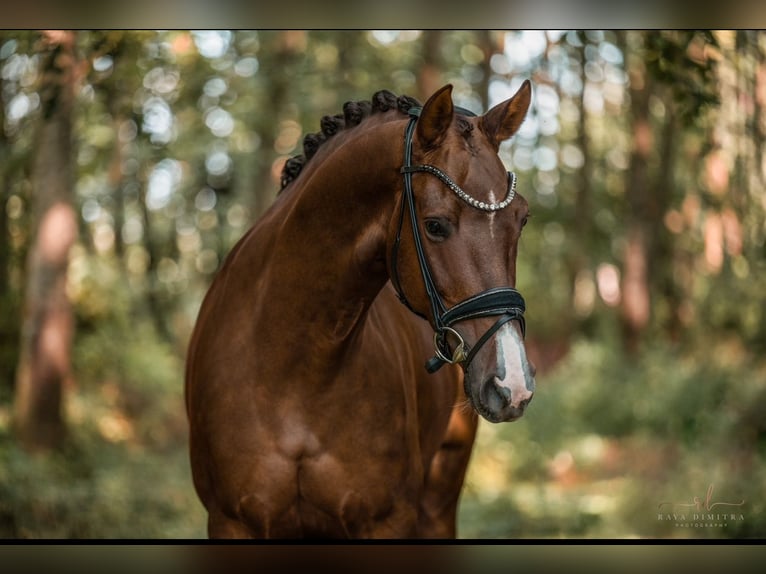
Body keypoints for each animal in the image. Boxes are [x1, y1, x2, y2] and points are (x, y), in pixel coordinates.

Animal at [185, 82, 536, 540]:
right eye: (435, 225)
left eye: (522, 219)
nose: (511, 385)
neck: (293, 374)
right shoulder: (231, 522)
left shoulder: (388, 521)